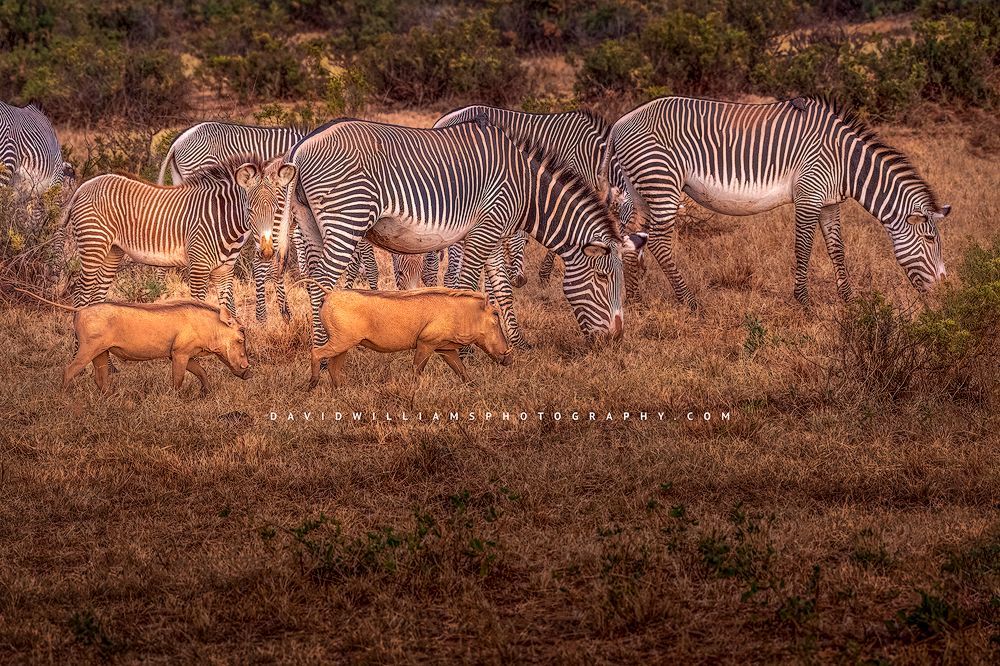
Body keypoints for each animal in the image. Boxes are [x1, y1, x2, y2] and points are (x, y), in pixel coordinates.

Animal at [64, 154, 294, 315]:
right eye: (250, 209)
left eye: (276, 208)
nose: (266, 252)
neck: (222, 219)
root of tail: (85, 185)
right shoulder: (199, 268)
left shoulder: (224, 271)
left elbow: (226, 312)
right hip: (93, 246)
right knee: (81, 297)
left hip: (113, 251)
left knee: (97, 298)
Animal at [271, 117, 630, 357]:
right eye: (603, 277)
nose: (615, 340)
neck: (528, 189)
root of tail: (300, 148)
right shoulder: (486, 229)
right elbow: (468, 285)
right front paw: (465, 348)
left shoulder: (495, 233)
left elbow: (502, 290)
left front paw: (518, 343)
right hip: (348, 215)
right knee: (323, 283)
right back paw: (326, 352)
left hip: (312, 224)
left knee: (315, 282)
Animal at [599, 96, 951, 308]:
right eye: (931, 240)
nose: (943, 291)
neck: (845, 161)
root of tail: (619, 124)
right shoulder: (809, 194)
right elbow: (804, 247)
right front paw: (803, 301)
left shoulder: (829, 202)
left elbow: (837, 249)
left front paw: (849, 299)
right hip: (662, 183)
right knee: (659, 241)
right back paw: (689, 300)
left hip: (641, 188)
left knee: (633, 236)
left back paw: (635, 299)